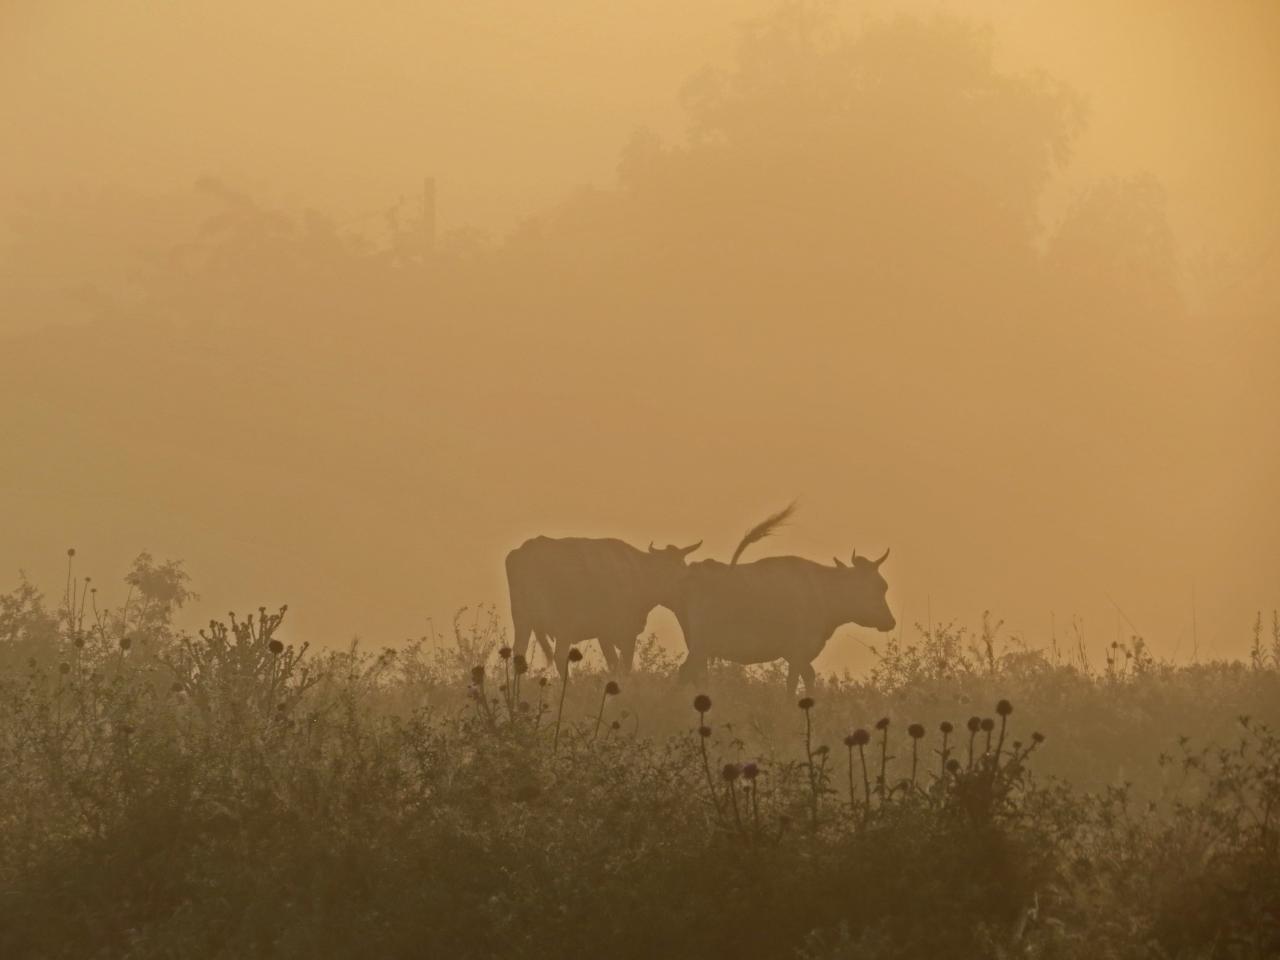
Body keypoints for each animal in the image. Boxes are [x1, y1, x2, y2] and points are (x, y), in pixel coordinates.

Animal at [501, 537, 701, 680]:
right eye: (681, 574)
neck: (639, 572)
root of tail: (528, 549)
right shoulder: (625, 631)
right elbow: (624, 664)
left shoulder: (604, 634)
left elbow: (613, 663)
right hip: (563, 625)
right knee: (560, 656)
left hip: (522, 620)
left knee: (519, 652)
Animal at [675, 506, 896, 696]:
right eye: (878, 586)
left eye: (884, 585)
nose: (890, 621)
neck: (823, 593)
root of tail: (694, 572)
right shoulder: (798, 651)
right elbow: (793, 683)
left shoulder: (796, 654)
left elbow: (807, 677)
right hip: (702, 644)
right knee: (686, 672)